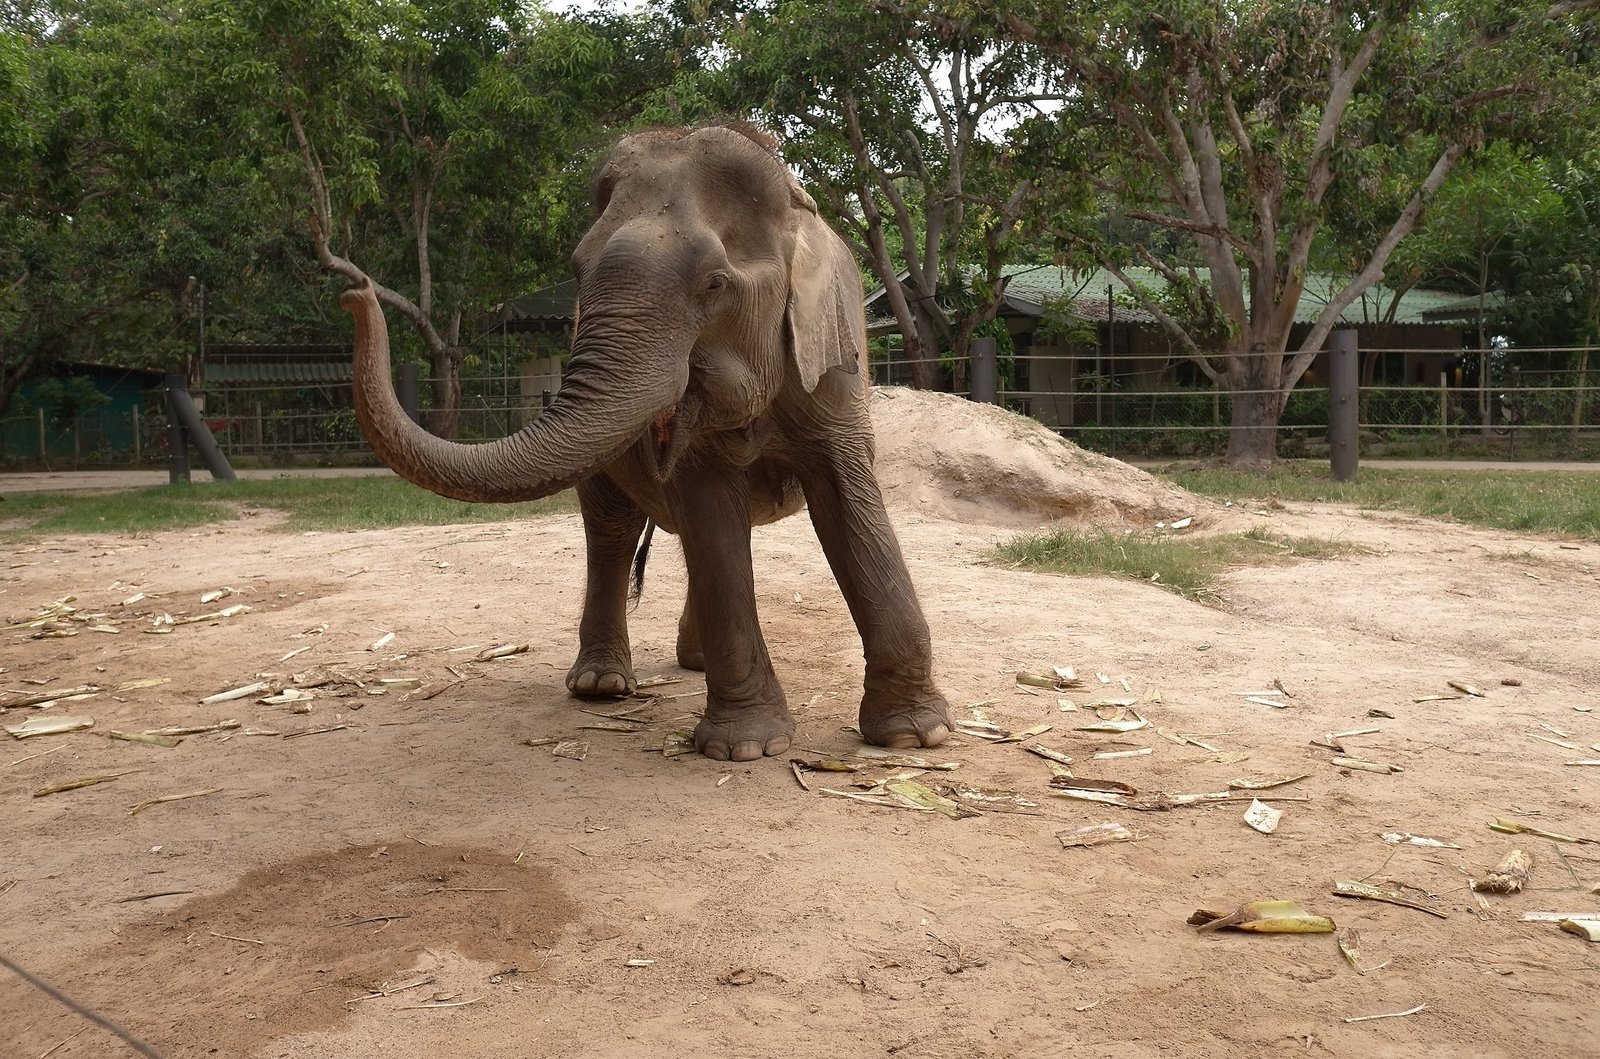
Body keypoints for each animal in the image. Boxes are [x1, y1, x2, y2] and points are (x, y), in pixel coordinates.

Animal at [341, 122, 953, 762]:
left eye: (714, 284)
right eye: (577, 271)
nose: (355, 290)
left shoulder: (835, 367)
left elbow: (847, 505)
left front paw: (915, 735)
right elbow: (712, 511)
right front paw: (746, 749)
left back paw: (693, 661)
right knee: (613, 532)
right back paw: (602, 685)